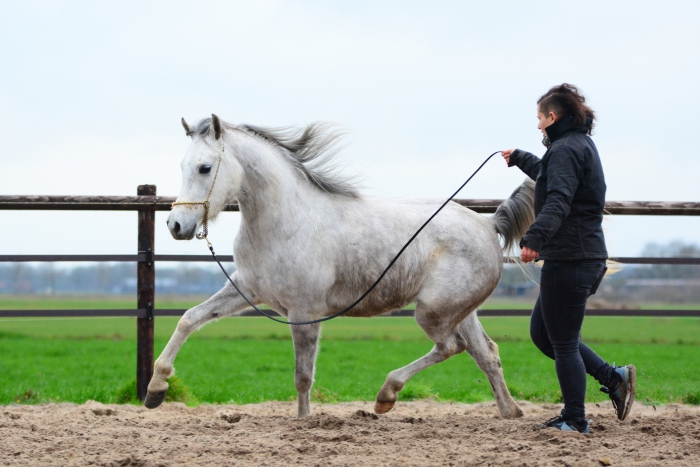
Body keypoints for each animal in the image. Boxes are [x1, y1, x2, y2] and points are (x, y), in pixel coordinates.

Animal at [145, 115, 532, 418]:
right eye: (183, 166)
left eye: (205, 167)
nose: (176, 226)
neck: (286, 222)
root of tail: (488, 224)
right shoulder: (247, 290)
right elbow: (190, 318)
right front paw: (155, 389)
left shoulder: (304, 312)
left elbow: (303, 376)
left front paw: (304, 420)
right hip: (460, 311)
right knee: (486, 354)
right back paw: (509, 412)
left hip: (433, 312)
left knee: (451, 347)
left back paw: (385, 396)